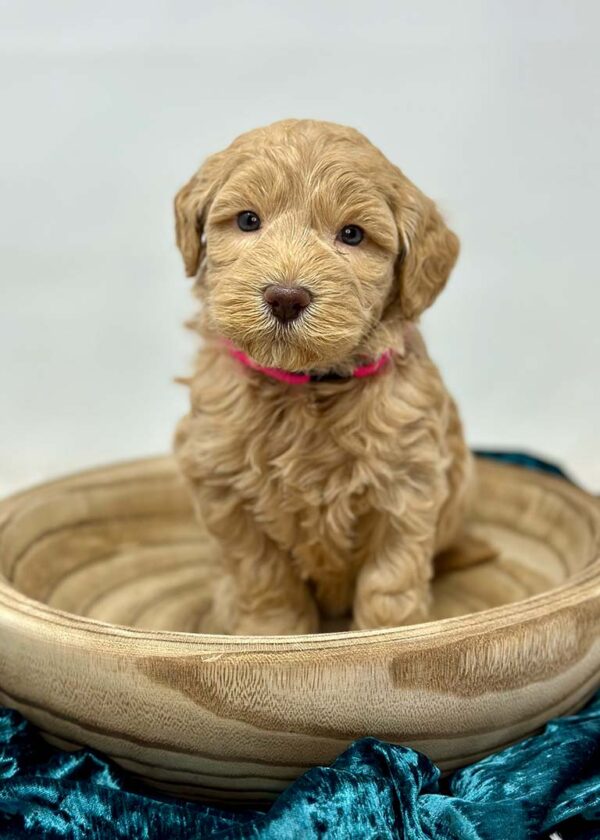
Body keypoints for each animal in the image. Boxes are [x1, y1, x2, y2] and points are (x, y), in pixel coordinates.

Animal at [172, 115, 474, 632]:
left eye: (352, 235)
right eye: (248, 220)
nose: (285, 296)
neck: (305, 386)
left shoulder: (407, 485)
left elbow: (390, 584)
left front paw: (388, 636)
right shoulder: (225, 488)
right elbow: (263, 578)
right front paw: (269, 633)